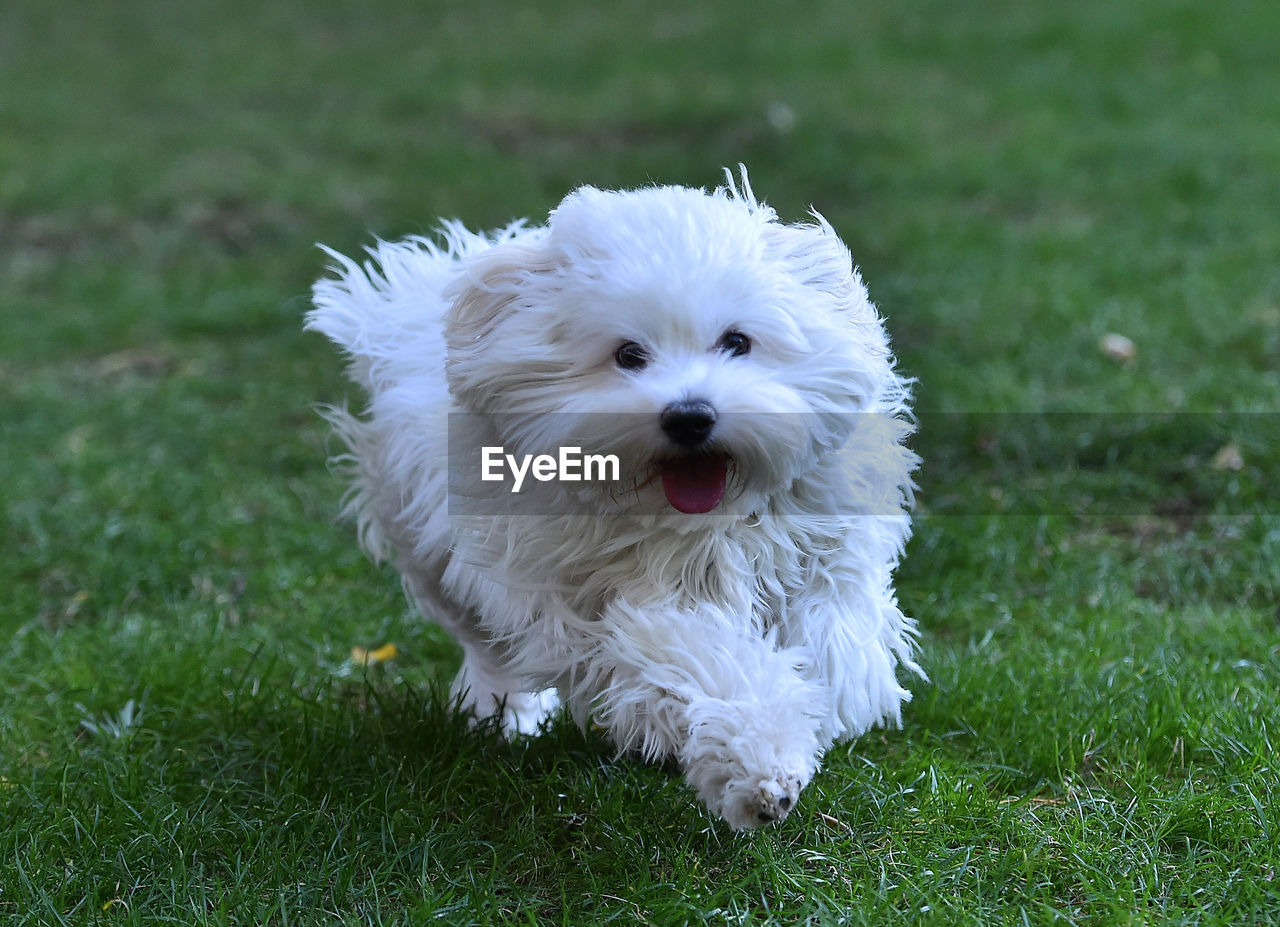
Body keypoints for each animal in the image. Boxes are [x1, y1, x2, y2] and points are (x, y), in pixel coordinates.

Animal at [307, 170, 921, 829]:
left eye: (738, 341)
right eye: (628, 354)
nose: (689, 415)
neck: (693, 522)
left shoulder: (827, 560)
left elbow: (828, 642)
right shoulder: (587, 604)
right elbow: (691, 658)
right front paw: (755, 762)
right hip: (432, 551)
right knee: (486, 643)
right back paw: (501, 715)